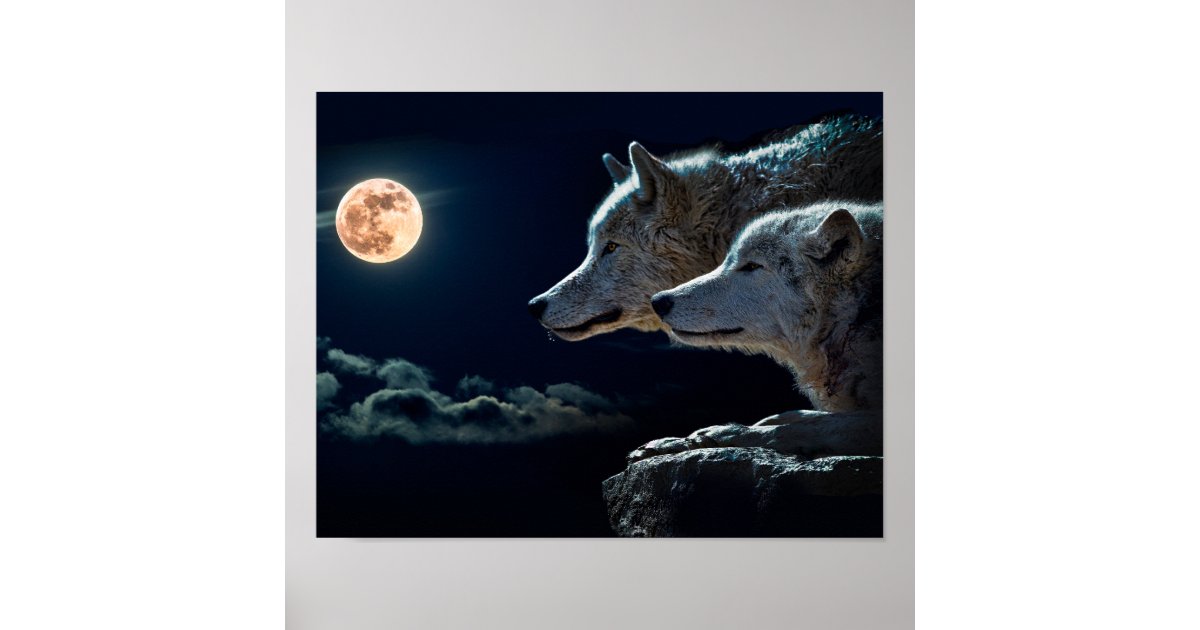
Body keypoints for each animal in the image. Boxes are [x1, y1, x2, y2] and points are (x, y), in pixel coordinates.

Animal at [627, 201, 884, 462]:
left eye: (751, 266)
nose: (658, 301)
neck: (855, 317)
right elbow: (797, 416)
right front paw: (675, 441)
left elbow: (795, 429)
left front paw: (719, 435)